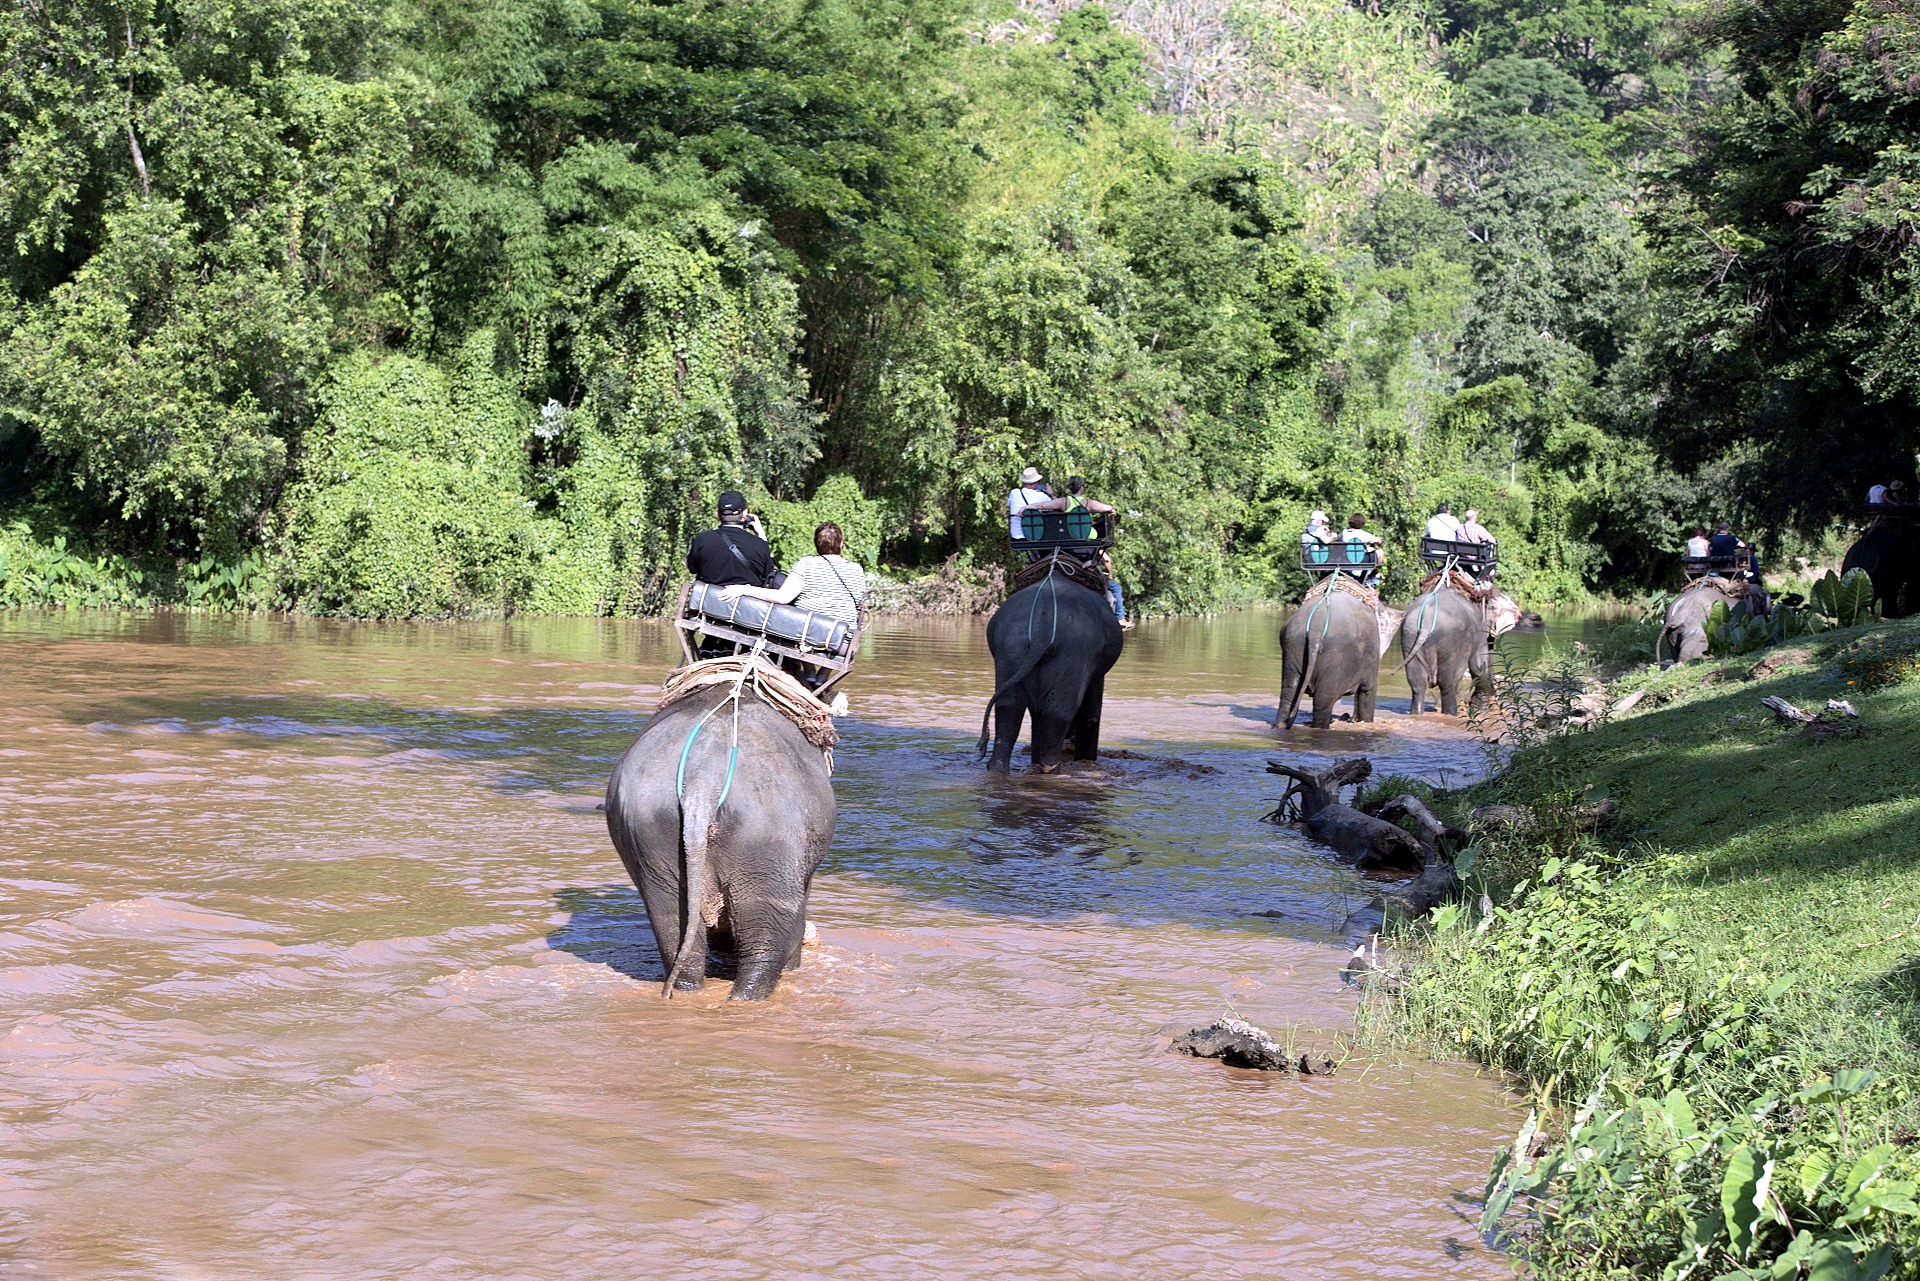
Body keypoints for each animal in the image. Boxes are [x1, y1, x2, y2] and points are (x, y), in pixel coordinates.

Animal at [979, 571, 1124, 773]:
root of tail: (1042, 629)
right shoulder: (1096, 669)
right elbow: (1091, 715)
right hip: (1074, 654)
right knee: (1058, 714)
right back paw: (1054, 769)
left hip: (1010, 649)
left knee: (1010, 706)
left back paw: (998, 768)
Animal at [1275, 582, 1406, 729]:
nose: (1352, 718)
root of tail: (1315, 629)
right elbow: (1368, 689)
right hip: (1336, 656)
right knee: (1323, 700)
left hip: (1293, 646)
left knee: (1289, 694)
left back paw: (1281, 725)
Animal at [1399, 582, 1523, 716]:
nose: (1495, 694)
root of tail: (1427, 620)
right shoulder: (1480, 630)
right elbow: (1479, 666)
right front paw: (1479, 708)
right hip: (1452, 641)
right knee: (1448, 682)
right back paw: (1452, 713)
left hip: (1410, 636)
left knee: (1417, 683)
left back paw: (1417, 713)